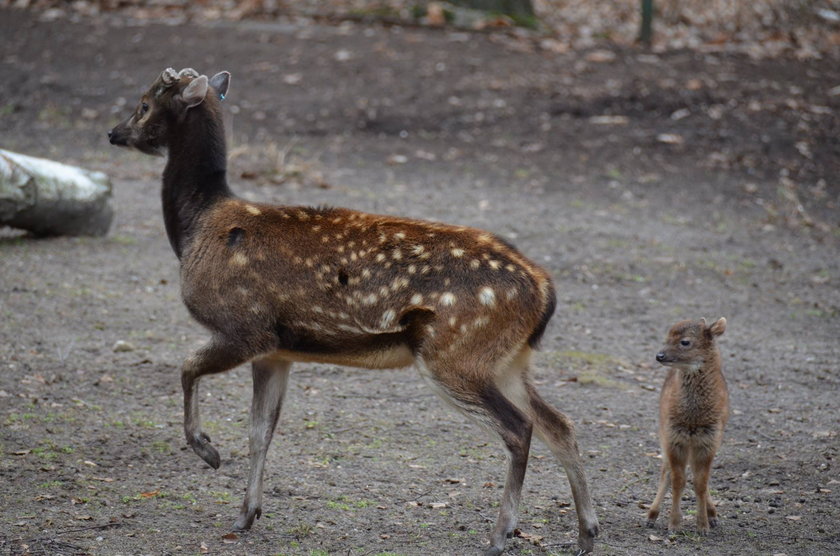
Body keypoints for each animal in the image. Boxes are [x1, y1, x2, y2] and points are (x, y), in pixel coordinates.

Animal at [108, 67, 600, 552]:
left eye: (144, 103)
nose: (114, 133)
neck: (198, 228)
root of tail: (544, 290)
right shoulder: (276, 352)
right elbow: (260, 432)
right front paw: (247, 514)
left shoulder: (245, 328)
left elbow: (187, 368)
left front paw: (208, 451)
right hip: (507, 360)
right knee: (560, 423)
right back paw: (586, 532)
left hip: (455, 352)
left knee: (519, 428)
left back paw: (501, 535)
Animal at [648, 314, 728, 532]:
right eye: (667, 336)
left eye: (685, 342)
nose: (659, 355)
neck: (693, 419)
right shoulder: (674, 437)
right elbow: (678, 480)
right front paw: (674, 524)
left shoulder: (709, 440)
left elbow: (700, 482)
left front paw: (703, 525)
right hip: (663, 435)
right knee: (666, 471)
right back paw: (651, 515)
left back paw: (713, 515)